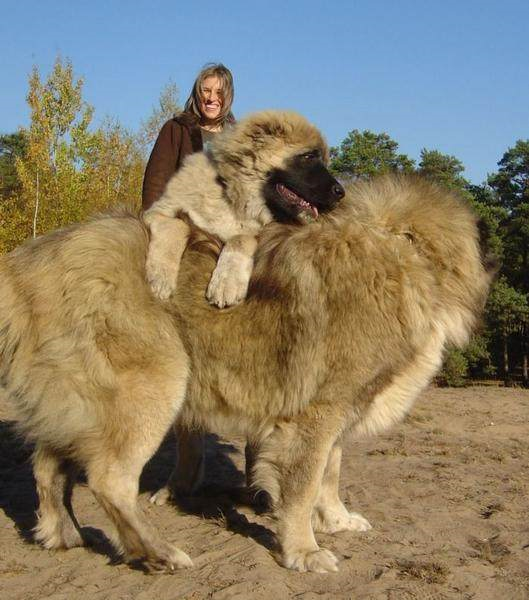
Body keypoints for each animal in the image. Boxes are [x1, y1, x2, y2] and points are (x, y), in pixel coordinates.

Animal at [0, 177, 496, 572]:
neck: (401, 256)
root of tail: (30, 262)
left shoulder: (339, 411)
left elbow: (331, 475)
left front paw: (336, 521)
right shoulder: (313, 418)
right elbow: (303, 489)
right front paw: (304, 552)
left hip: (75, 404)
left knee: (47, 468)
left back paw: (64, 534)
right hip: (153, 386)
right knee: (109, 480)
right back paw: (159, 553)